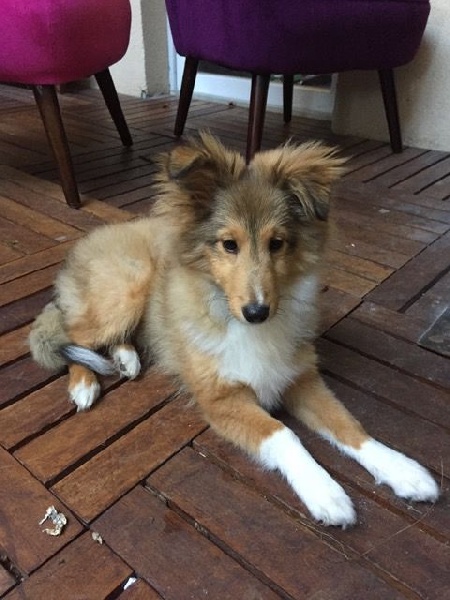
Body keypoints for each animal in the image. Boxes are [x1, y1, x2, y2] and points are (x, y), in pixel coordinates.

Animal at [29, 133, 439, 527]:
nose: (257, 312)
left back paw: (127, 359)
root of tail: (94, 238)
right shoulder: (223, 399)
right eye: (229, 244)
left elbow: (348, 424)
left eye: (277, 243)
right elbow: (284, 434)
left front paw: (402, 470)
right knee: (73, 335)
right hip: (125, 289)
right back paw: (84, 385)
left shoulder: (300, 378)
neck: (238, 321)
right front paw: (324, 491)